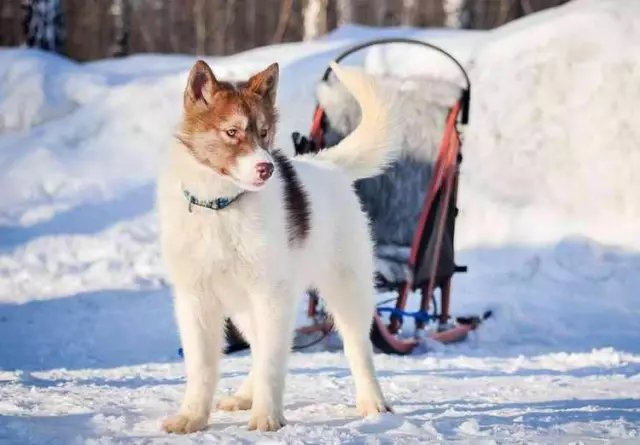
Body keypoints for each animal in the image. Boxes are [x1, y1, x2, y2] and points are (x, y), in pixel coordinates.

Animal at [157, 59, 398, 434]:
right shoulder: (195, 300)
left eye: (264, 132)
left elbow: (273, 361)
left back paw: (373, 402)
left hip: (346, 289)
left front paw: (267, 417)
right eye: (232, 132)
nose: (267, 168)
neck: (222, 206)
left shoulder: (271, 295)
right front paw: (192, 417)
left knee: (357, 347)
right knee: (259, 347)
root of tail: (327, 164)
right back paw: (245, 395)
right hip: (247, 307)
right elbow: (202, 368)